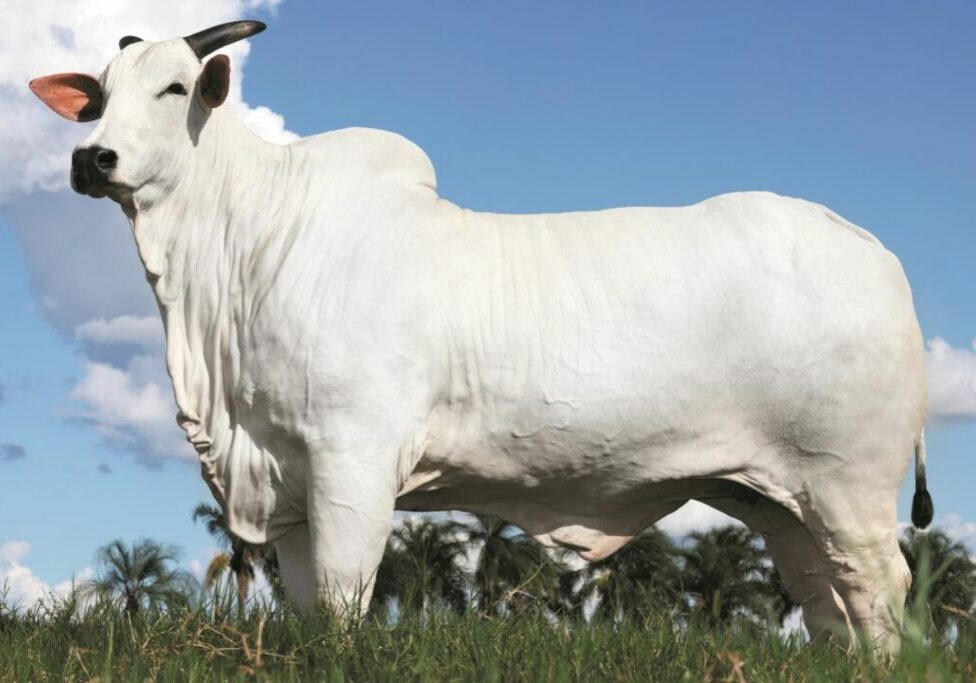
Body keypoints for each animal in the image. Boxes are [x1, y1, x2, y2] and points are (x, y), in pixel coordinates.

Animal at [30, 20, 932, 652]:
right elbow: (308, 602)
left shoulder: (353, 459)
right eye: (97, 94)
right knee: (824, 596)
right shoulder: (283, 478)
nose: (91, 158)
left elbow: (346, 598)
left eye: (174, 88)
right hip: (780, 497)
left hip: (849, 482)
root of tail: (870, 247)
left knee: (880, 584)